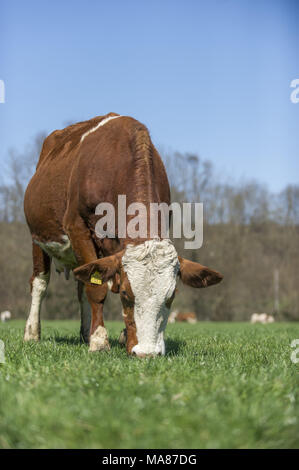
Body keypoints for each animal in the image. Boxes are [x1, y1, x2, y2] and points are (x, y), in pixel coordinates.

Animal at [23, 113, 223, 356]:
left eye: (171, 295)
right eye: (127, 294)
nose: (147, 352)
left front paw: (121, 336)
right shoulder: (77, 227)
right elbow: (96, 288)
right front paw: (99, 341)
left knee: (80, 285)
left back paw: (84, 332)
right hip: (37, 236)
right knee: (40, 283)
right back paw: (32, 333)